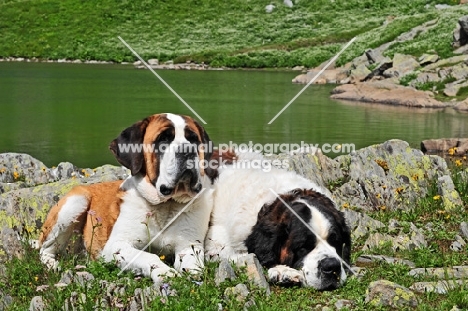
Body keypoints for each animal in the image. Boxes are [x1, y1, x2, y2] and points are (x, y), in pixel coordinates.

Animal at [38, 113, 214, 284]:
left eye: (194, 139)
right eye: (163, 139)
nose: (187, 149)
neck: (166, 205)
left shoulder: (189, 245)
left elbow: (192, 262)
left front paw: (193, 273)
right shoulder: (117, 245)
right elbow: (148, 256)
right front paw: (166, 273)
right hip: (75, 203)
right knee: (45, 249)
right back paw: (52, 265)